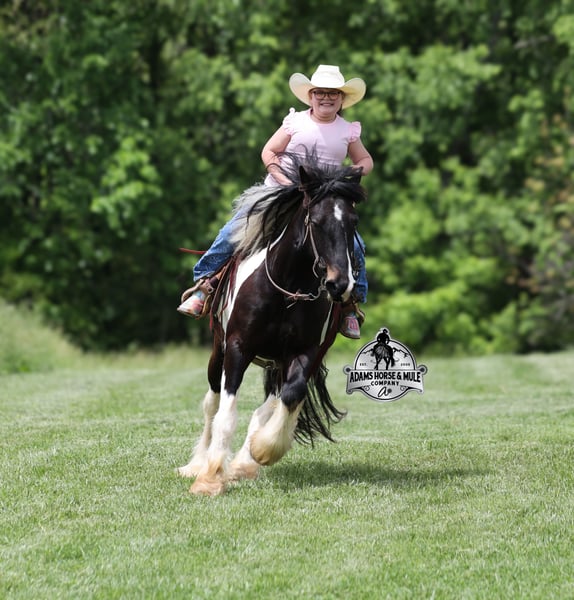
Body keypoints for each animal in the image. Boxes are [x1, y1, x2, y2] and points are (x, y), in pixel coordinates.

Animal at [178, 153, 366, 496]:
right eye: (315, 222)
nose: (340, 284)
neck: (286, 290)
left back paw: (243, 463)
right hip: (218, 351)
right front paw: (209, 479)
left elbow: (290, 396)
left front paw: (263, 450)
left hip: (280, 362)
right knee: (212, 404)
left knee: (267, 405)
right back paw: (198, 464)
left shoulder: (305, 352)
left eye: (353, 223)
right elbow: (226, 413)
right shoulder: (237, 348)